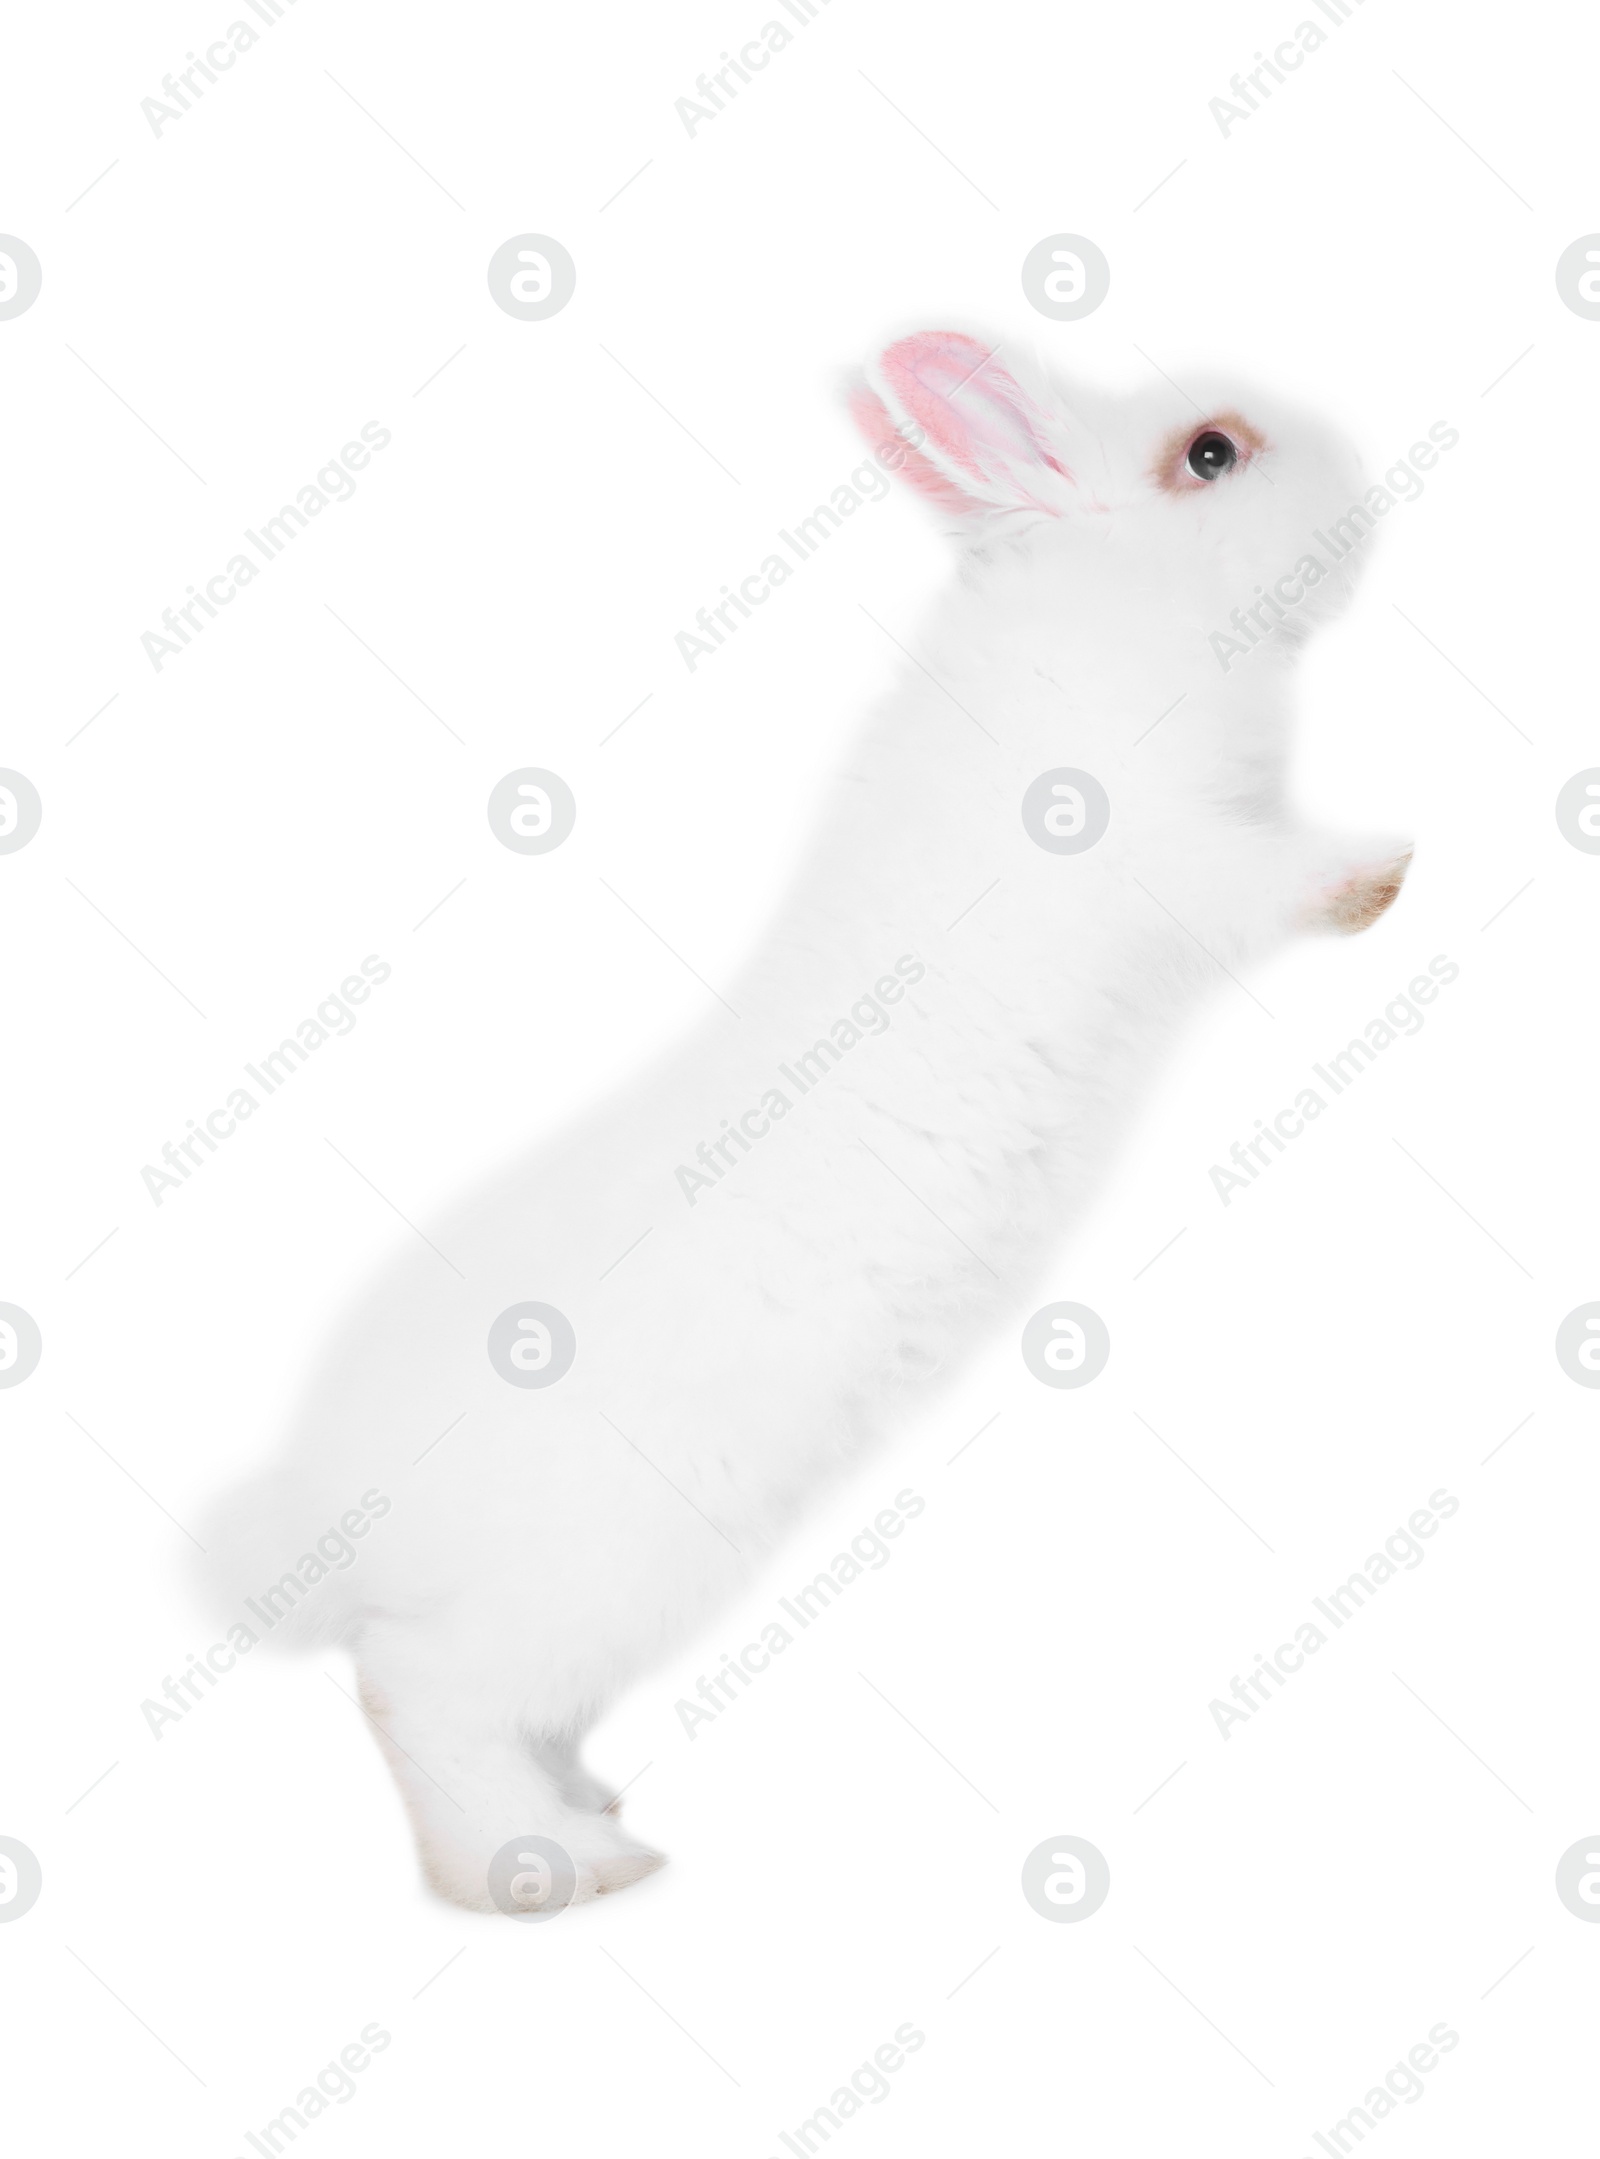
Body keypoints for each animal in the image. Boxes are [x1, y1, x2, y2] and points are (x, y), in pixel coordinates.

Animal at [202, 332, 1407, 1908]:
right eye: (1211, 452)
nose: (1364, 486)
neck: (1115, 603)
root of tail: (324, 1508)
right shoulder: (1173, 849)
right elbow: (1268, 880)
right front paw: (1383, 870)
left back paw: (585, 1806)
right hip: (590, 1582)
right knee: (418, 1694)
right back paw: (563, 1866)